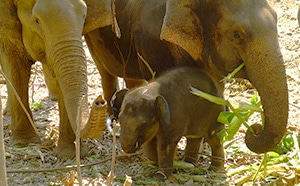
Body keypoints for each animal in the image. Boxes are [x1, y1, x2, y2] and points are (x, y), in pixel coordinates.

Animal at [0, 0, 112, 158]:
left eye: (84, 15)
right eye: (37, 21)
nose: (100, 101)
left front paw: (69, 154)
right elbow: (14, 67)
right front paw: (23, 143)